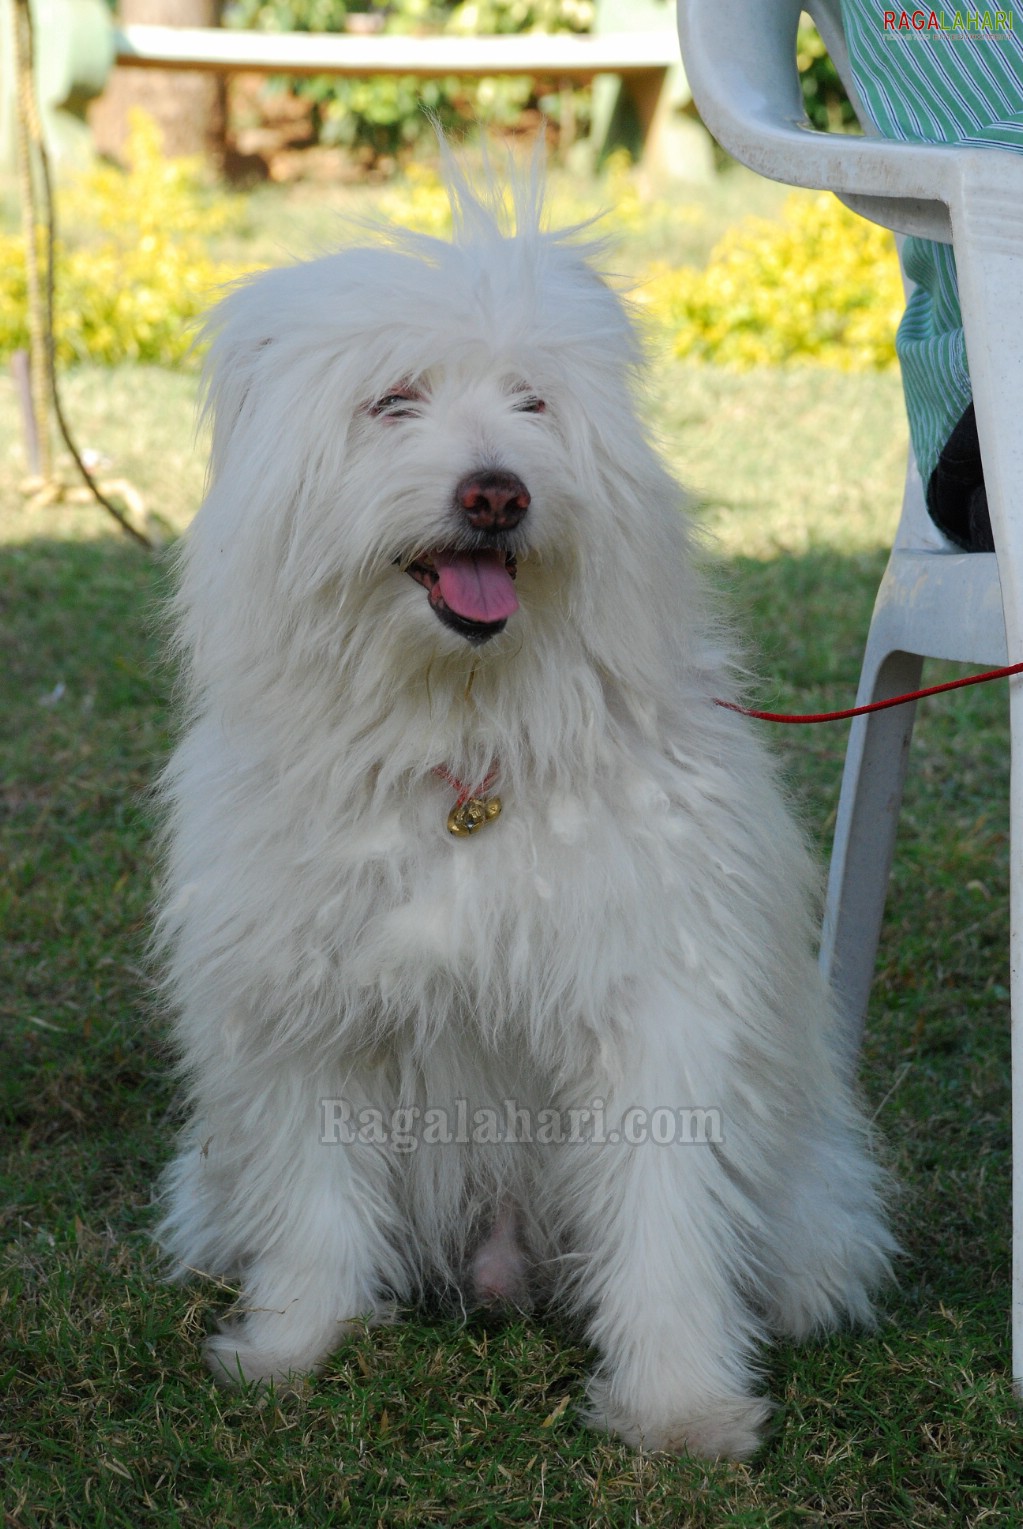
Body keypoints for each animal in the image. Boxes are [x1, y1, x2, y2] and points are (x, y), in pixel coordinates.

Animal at [153, 152, 893, 1455]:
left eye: (534, 402)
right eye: (394, 401)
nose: (495, 493)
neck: (464, 745)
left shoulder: (654, 1010)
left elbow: (663, 1226)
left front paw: (680, 1406)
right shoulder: (302, 1016)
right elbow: (315, 1203)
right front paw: (295, 1343)